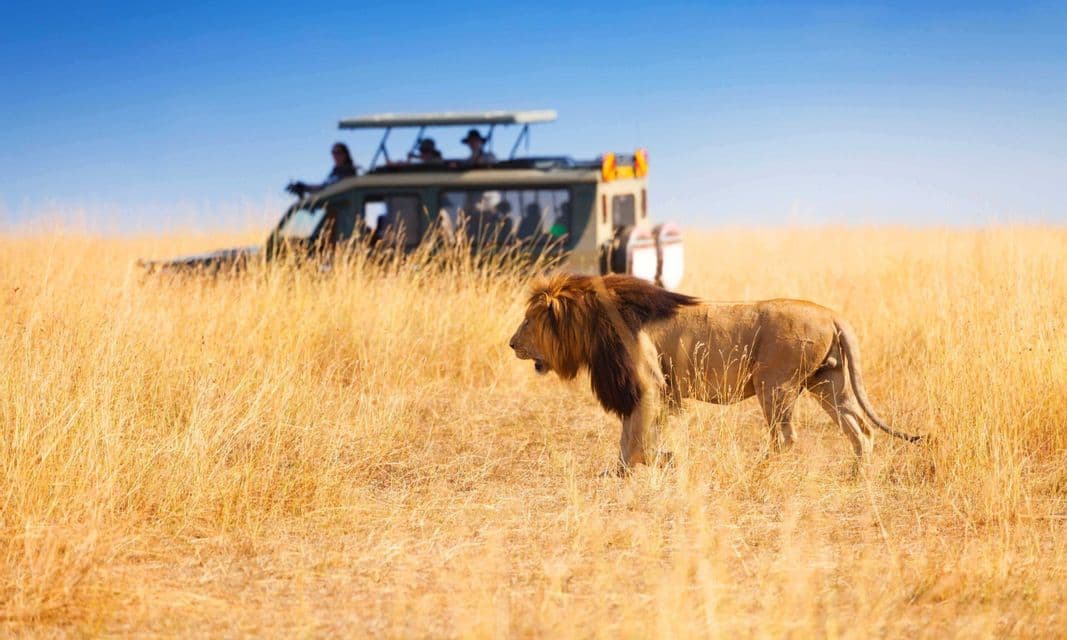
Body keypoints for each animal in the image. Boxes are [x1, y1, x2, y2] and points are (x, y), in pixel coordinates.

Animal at [509, 273, 922, 474]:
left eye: (528, 321)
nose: (511, 344)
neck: (593, 322)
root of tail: (832, 314)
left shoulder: (647, 384)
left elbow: (637, 440)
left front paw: (662, 461)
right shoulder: (645, 390)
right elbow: (629, 439)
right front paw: (623, 471)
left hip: (774, 384)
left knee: (786, 437)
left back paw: (758, 469)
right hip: (827, 383)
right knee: (861, 429)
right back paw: (858, 474)